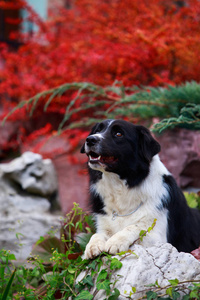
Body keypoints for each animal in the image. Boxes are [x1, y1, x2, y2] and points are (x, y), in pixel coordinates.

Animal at [80, 119, 199, 258]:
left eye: (119, 134)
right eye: (98, 130)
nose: (90, 139)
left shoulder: (161, 239)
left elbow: (136, 227)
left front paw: (115, 241)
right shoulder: (103, 225)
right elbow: (97, 234)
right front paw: (93, 245)